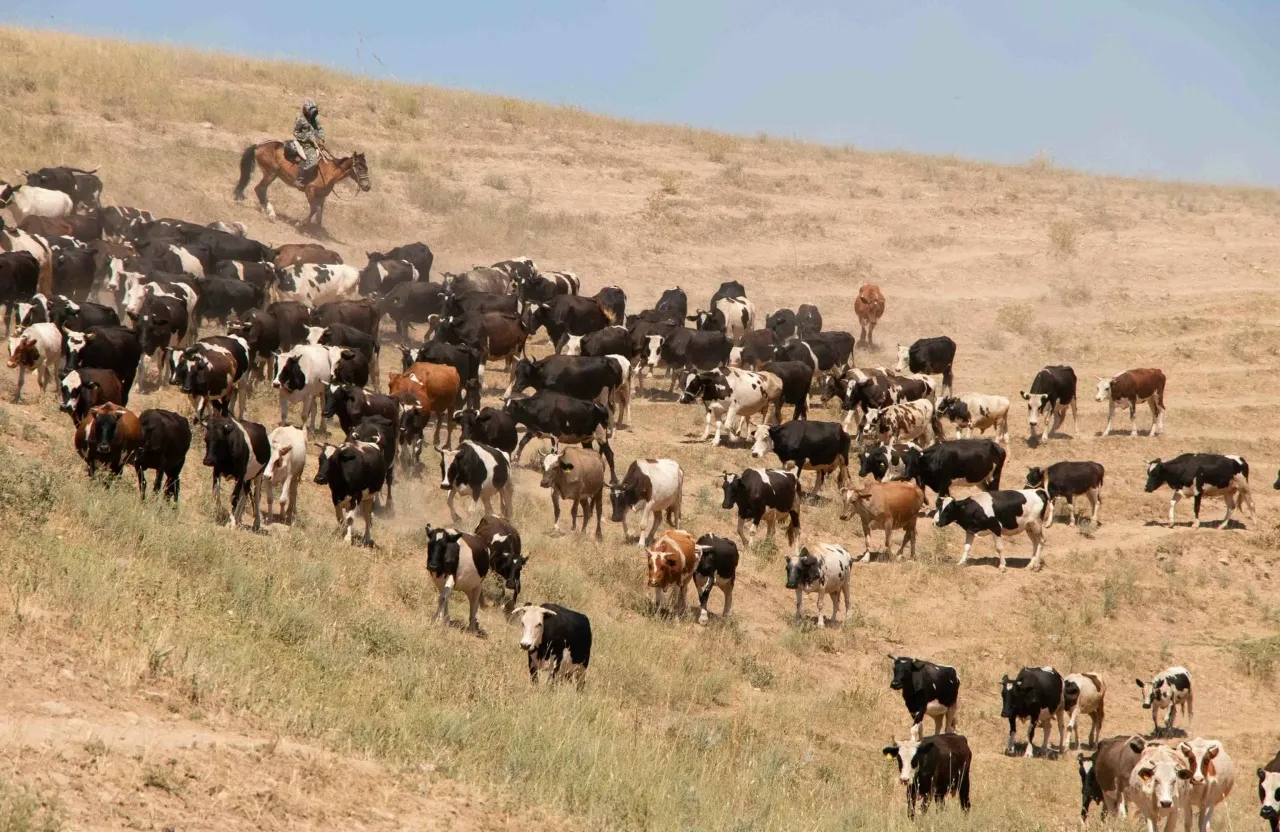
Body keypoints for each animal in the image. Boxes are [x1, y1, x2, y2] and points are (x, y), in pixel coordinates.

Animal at [232, 140, 371, 227]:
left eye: (366, 167)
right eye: (359, 168)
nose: (367, 186)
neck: (329, 172)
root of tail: (259, 145)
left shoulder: (322, 196)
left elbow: (319, 214)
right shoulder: (310, 191)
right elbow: (314, 209)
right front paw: (301, 224)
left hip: (273, 175)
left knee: (261, 190)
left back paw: (268, 211)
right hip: (270, 173)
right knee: (259, 188)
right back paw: (269, 213)